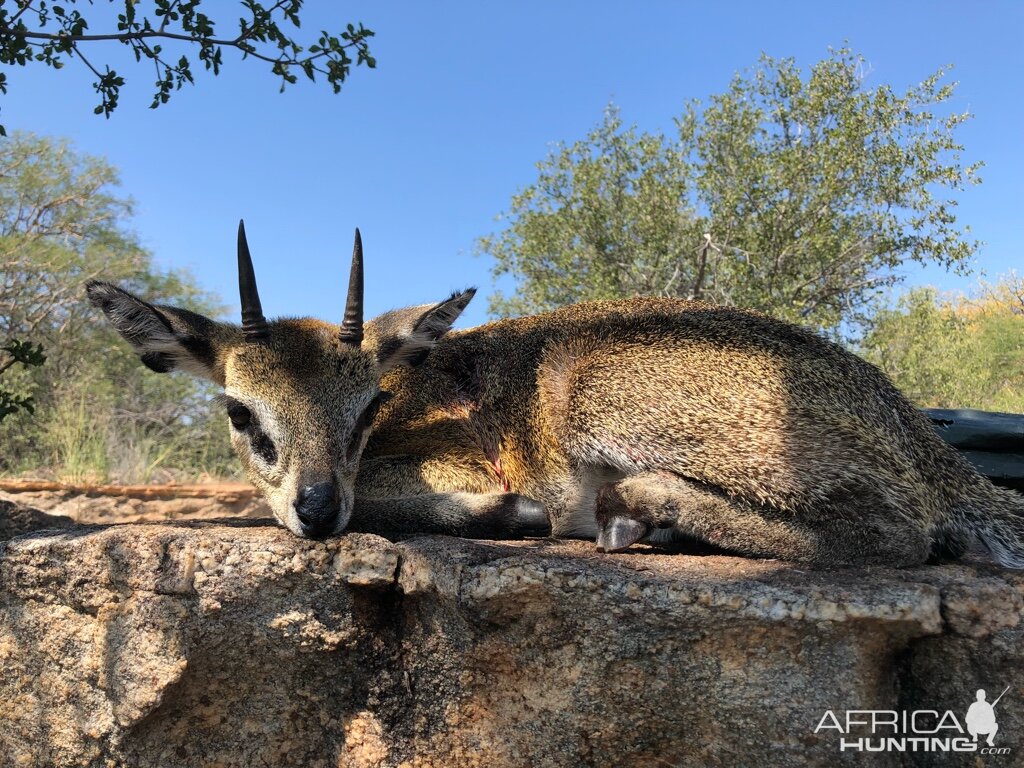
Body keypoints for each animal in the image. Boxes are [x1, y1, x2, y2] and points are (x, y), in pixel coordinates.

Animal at [90, 224, 1024, 573]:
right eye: (240, 411)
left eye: (365, 408)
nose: (319, 509)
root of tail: (922, 440)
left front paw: (516, 514)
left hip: (609, 400)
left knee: (899, 530)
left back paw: (635, 509)